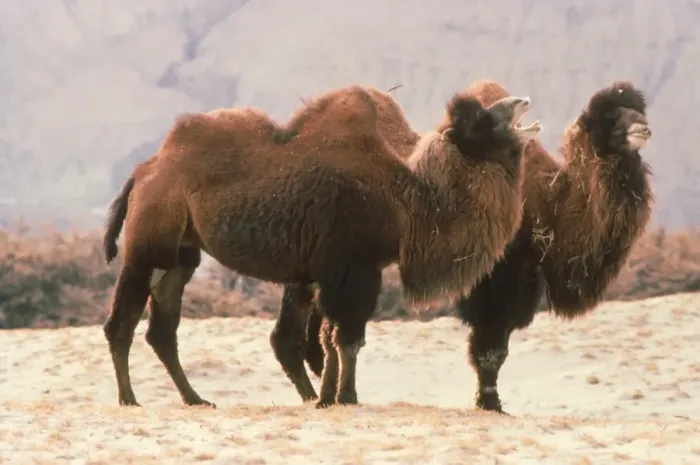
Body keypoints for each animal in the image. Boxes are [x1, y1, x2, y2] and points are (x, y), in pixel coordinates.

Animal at [102, 84, 542, 409]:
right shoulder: (354, 268)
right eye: (482, 119)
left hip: (181, 256)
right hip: (146, 247)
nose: (522, 101)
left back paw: (196, 399)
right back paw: (129, 399)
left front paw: (329, 397)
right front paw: (344, 396)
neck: (410, 200)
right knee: (121, 324)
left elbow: (330, 337)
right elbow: (346, 337)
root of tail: (143, 172)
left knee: (163, 330)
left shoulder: (335, 273)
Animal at [282, 80, 654, 413]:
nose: (644, 128)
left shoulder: (524, 279)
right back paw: (320, 396)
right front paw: (490, 403)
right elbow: (490, 351)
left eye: (639, 107)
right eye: (608, 116)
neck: (548, 204)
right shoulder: (497, 280)